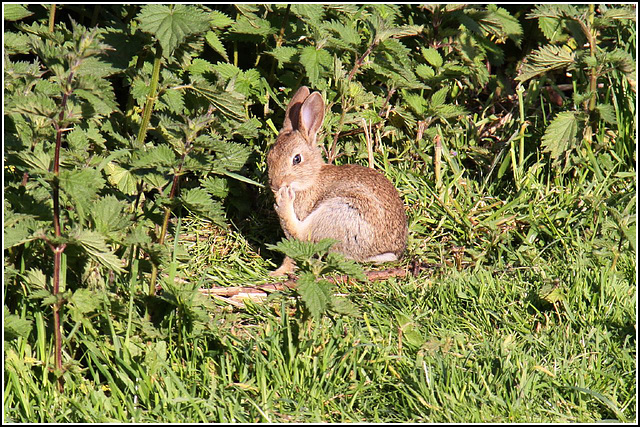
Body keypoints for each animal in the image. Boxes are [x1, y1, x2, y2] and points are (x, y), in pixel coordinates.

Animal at [266, 86, 408, 278]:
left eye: (297, 159)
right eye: (270, 155)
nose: (276, 184)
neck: (311, 179)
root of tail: (380, 251)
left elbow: (295, 247)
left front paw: (279, 271)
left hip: (340, 212)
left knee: (303, 234)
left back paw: (283, 202)